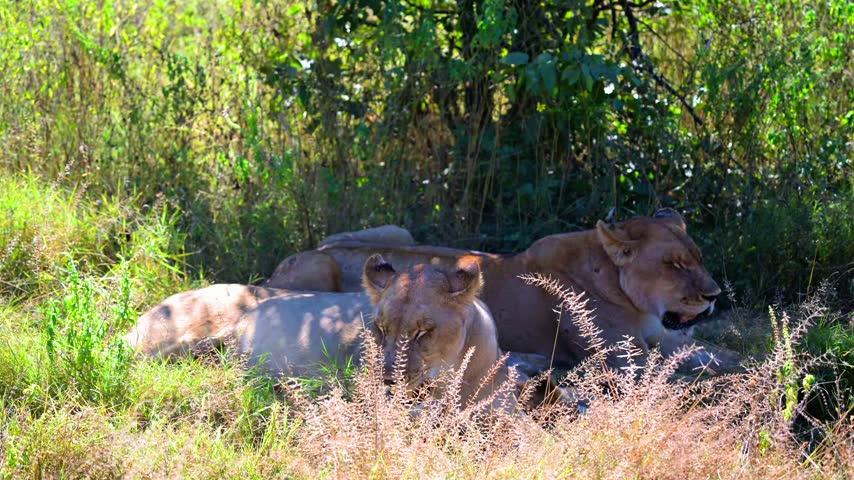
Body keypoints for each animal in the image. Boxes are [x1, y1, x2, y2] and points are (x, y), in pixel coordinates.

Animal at [266, 209, 734, 371]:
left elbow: (713, 351)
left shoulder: (659, 334)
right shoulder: (621, 356)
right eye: (673, 264)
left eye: (698, 256)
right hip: (326, 265)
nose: (714, 296)